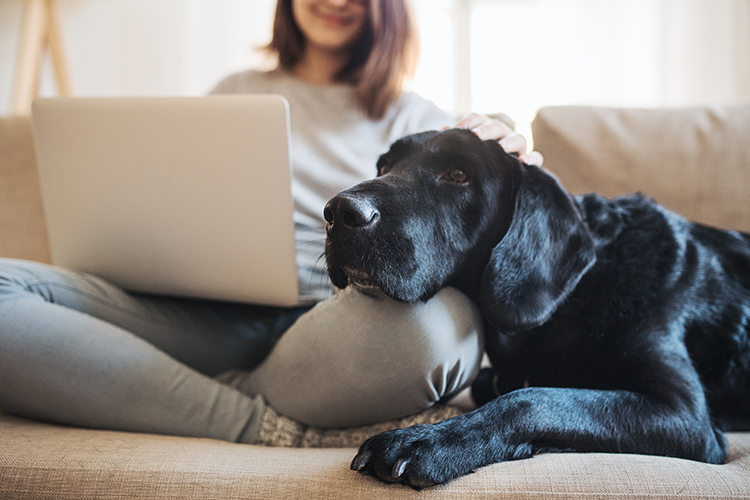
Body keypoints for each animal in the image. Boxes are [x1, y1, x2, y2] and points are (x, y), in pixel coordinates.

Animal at [324, 128, 750, 488]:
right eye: (384, 166)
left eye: (459, 175)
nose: (339, 213)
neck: (575, 296)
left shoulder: (685, 414)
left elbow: (533, 399)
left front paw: (425, 442)